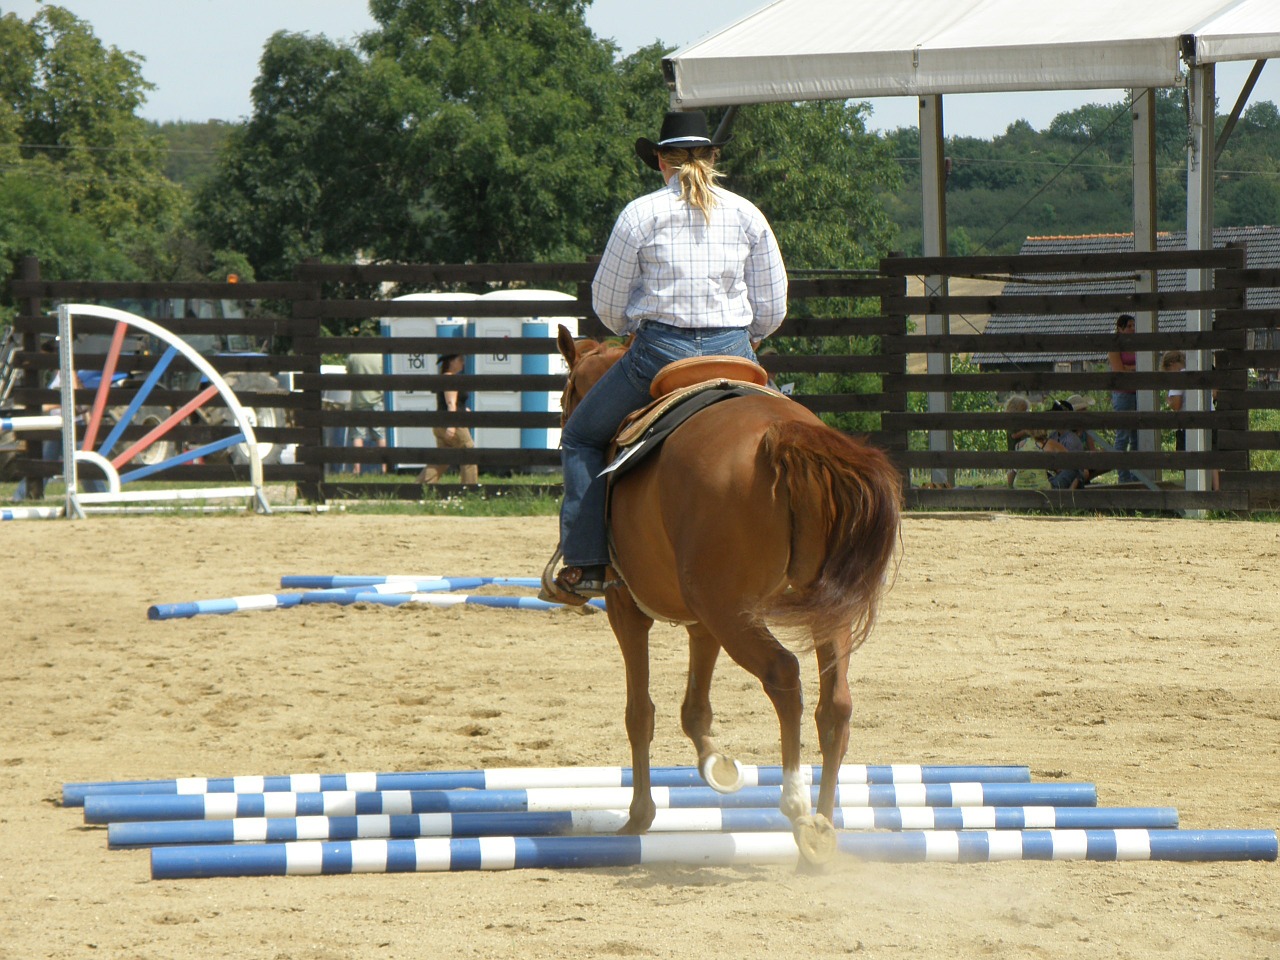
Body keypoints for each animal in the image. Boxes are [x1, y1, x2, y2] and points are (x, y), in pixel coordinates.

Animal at [555, 327, 906, 870]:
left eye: (568, 395)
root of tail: (783, 435)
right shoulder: (702, 622)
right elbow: (693, 709)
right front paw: (717, 765)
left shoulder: (627, 609)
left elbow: (640, 713)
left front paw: (638, 817)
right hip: (818, 611)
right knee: (835, 706)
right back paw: (820, 834)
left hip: (732, 613)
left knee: (783, 675)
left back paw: (797, 807)